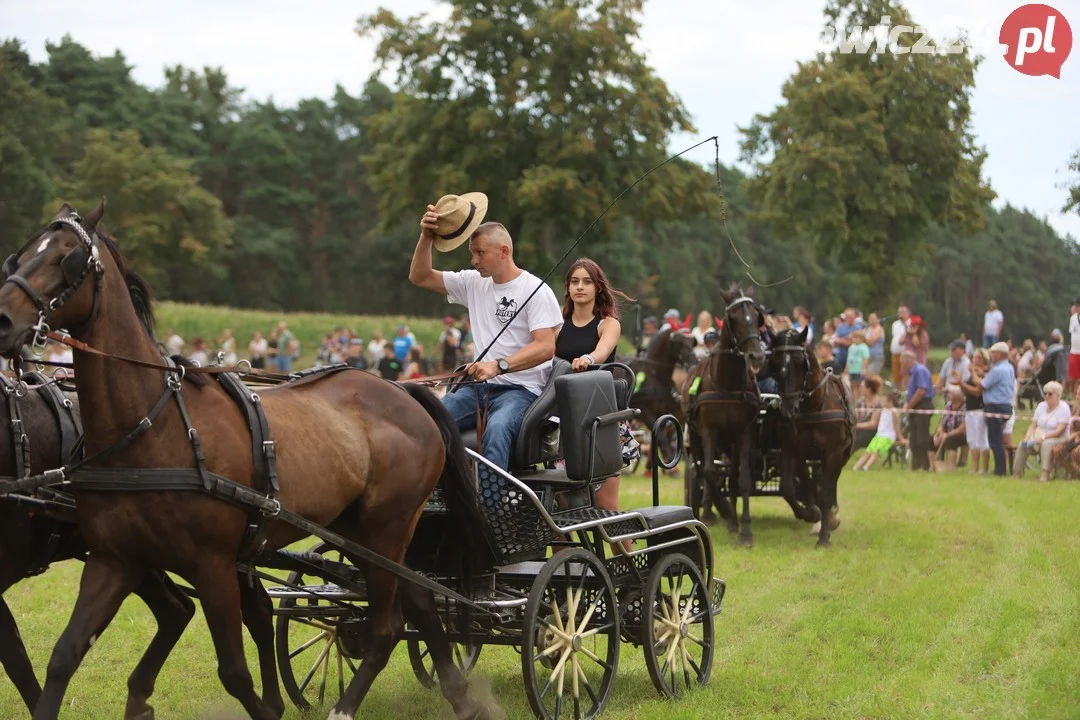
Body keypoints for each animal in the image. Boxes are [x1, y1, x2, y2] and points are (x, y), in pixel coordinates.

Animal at [0, 201, 494, 720]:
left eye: (67, 259)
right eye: (22, 255)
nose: (3, 321)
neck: (152, 427)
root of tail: (403, 391)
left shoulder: (213, 565)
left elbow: (234, 673)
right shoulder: (114, 560)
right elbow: (64, 655)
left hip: (386, 528)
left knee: (387, 627)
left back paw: (349, 706)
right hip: (366, 533)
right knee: (421, 604)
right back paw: (460, 697)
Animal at [678, 287, 764, 546]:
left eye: (757, 317)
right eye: (733, 318)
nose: (756, 356)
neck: (728, 384)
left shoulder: (744, 432)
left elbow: (743, 479)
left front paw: (744, 529)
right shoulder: (709, 430)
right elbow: (709, 472)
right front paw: (720, 511)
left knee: (732, 474)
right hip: (697, 438)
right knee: (703, 471)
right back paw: (710, 511)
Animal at [773, 325, 855, 546]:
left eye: (800, 363)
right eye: (774, 364)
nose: (788, 410)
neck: (813, 405)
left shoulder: (832, 452)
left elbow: (826, 493)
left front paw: (824, 536)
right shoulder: (791, 449)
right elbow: (788, 487)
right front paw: (810, 513)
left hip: (841, 455)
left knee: (831, 481)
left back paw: (831, 516)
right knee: (809, 480)